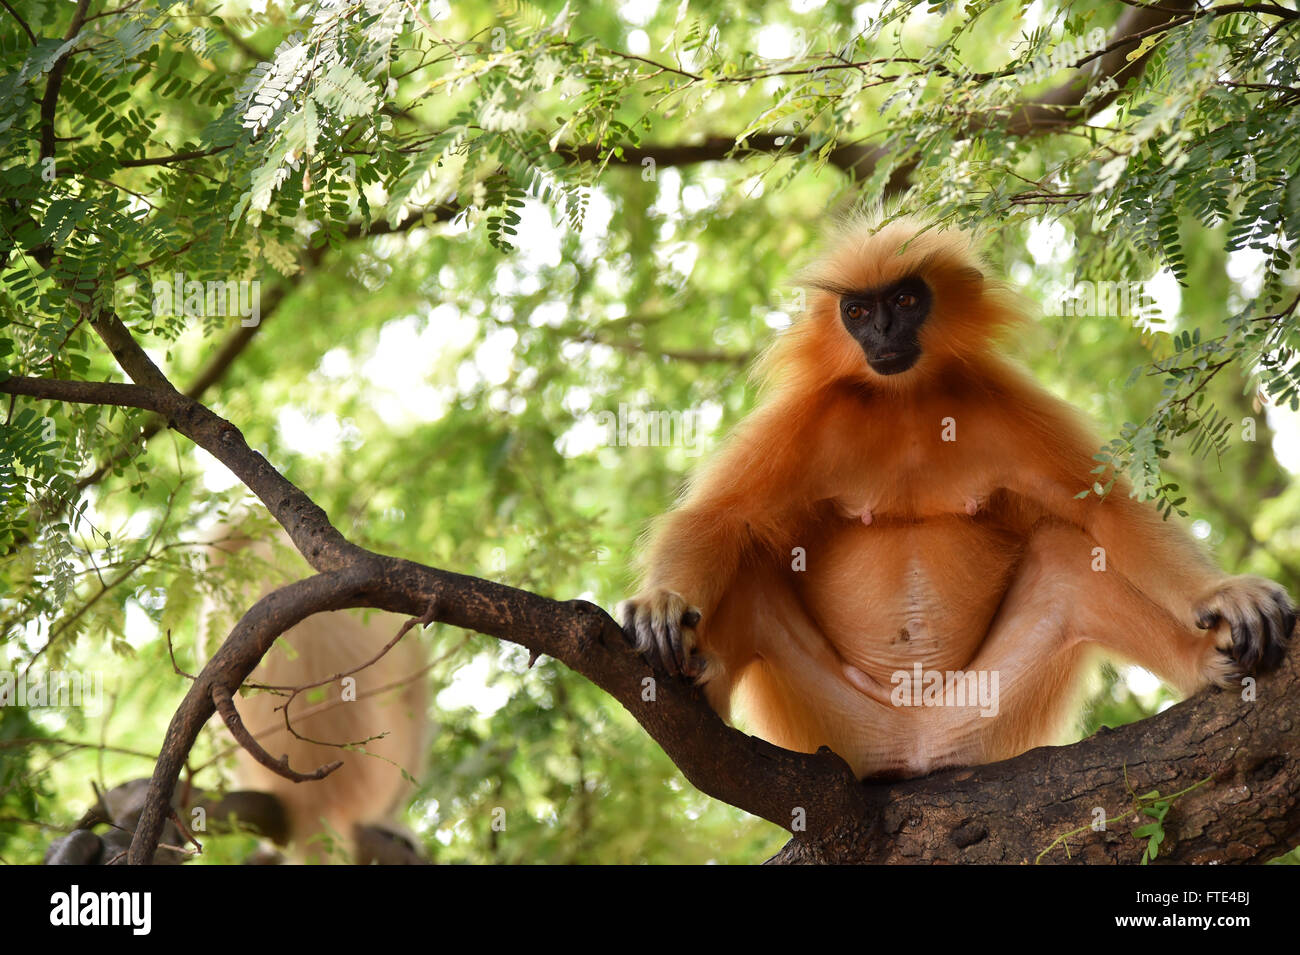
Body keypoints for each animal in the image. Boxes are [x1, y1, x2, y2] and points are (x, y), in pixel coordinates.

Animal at [621, 218, 1289, 784]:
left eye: (905, 301)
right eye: (857, 310)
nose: (883, 333)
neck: (907, 403)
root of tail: (914, 743)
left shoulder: (999, 401)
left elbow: (1105, 510)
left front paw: (1223, 592)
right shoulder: (814, 415)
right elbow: (719, 519)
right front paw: (660, 602)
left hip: (983, 712)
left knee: (1069, 557)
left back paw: (1202, 661)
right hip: (836, 724)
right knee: (754, 566)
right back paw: (701, 676)